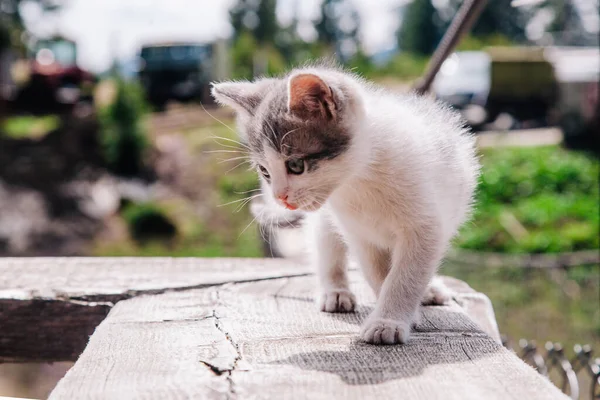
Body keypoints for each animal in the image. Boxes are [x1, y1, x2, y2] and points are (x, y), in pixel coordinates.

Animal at [213, 62, 480, 344]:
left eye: (295, 165)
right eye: (264, 171)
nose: (279, 197)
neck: (360, 178)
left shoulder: (425, 228)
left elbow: (406, 275)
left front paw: (390, 320)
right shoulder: (359, 233)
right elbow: (377, 272)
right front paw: (392, 315)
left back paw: (429, 289)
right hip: (325, 220)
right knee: (327, 248)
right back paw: (336, 292)